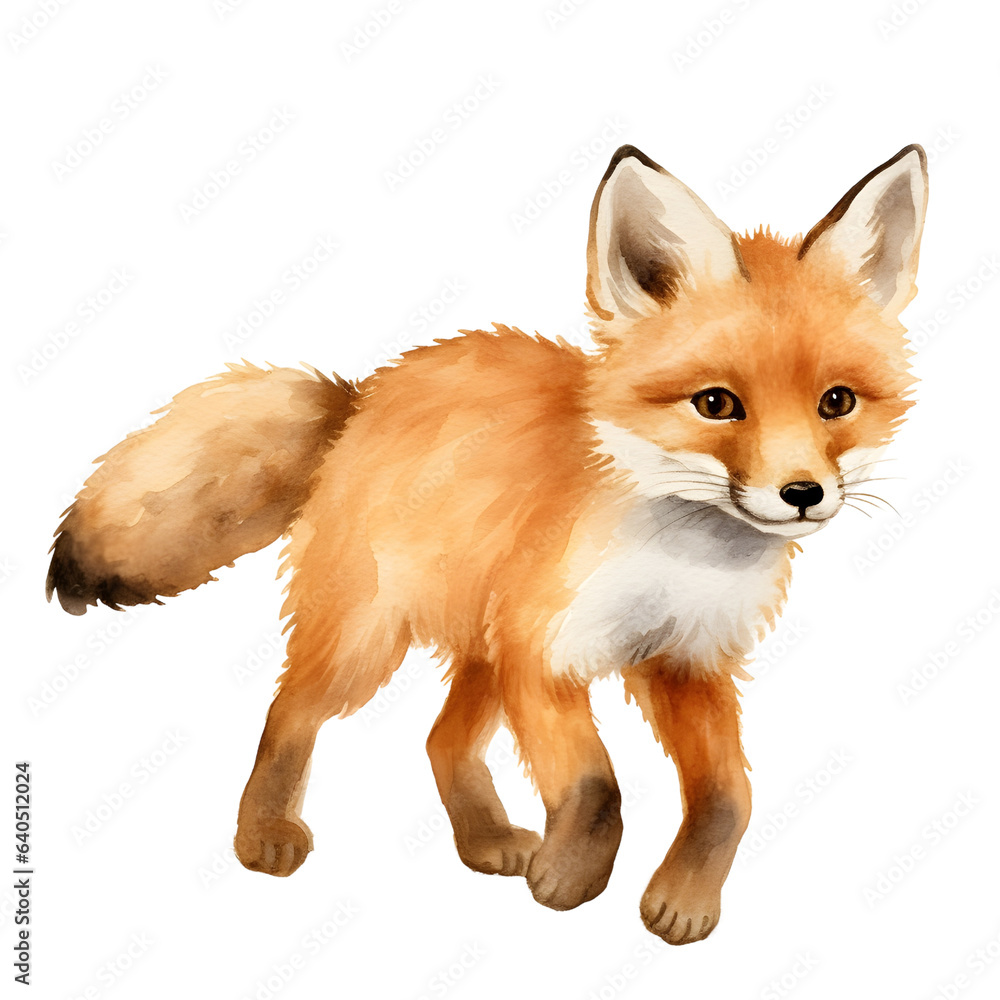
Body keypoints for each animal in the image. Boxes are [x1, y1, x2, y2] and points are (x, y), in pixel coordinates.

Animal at [47, 143, 927, 945]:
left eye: (837, 402)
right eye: (717, 404)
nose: (803, 494)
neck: (677, 557)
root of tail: (361, 395)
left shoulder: (686, 659)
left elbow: (727, 797)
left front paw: (682, 902)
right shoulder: (545, 652)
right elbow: (597, 789)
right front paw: (571, 880)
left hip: (480, 648)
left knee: (439, 741)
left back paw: (485, 841)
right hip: (371, 640)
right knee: (288, 711)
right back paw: (263, 832)